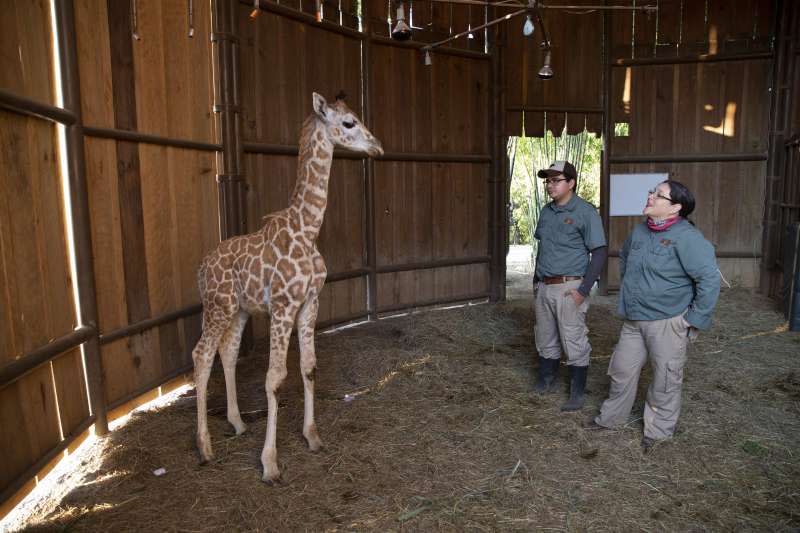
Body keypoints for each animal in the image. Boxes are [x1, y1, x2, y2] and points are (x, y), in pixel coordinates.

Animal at [192, 91, 382, 482]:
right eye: (349, 122)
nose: (378, 147)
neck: (307, 230)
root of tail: (201, 269)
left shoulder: (311, 303)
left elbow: (308, 366)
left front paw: (312, 436)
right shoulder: (282, 307)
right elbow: (275, 378)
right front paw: (270, 462)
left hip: (239, 310)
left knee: (227, 353)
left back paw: (237, 423)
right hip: (216, 306)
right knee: (201, 355)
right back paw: (204, 447)